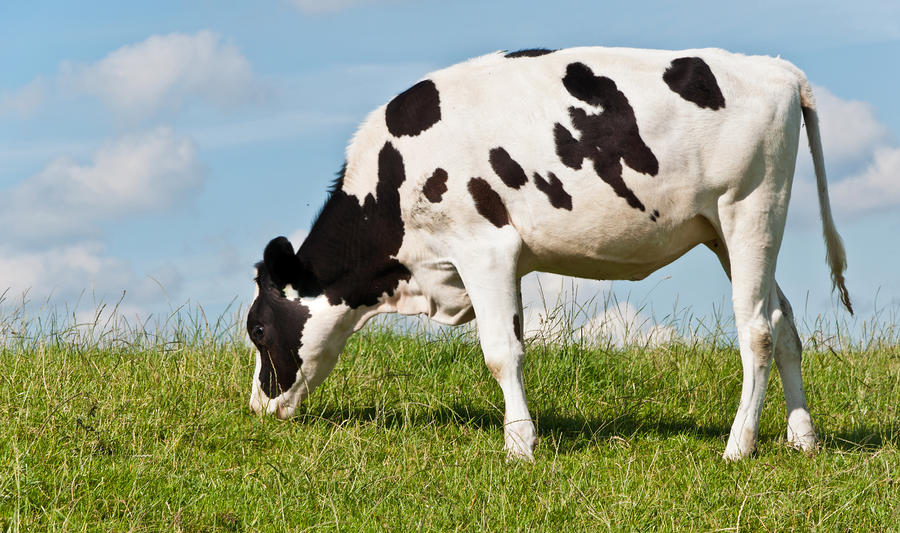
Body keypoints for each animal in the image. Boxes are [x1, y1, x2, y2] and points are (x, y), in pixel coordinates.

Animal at [246, 46, 852, 462]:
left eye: (257, 329)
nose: (257, 407)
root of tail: (777, 71)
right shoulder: (503, 260)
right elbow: (513, 345)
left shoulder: (483, 246)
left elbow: (500, 352)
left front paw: (519, 446)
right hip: (724, 231)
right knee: (785, 322)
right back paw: (803, 438)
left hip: (749, 210)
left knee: (757, 330)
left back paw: (738, 445)